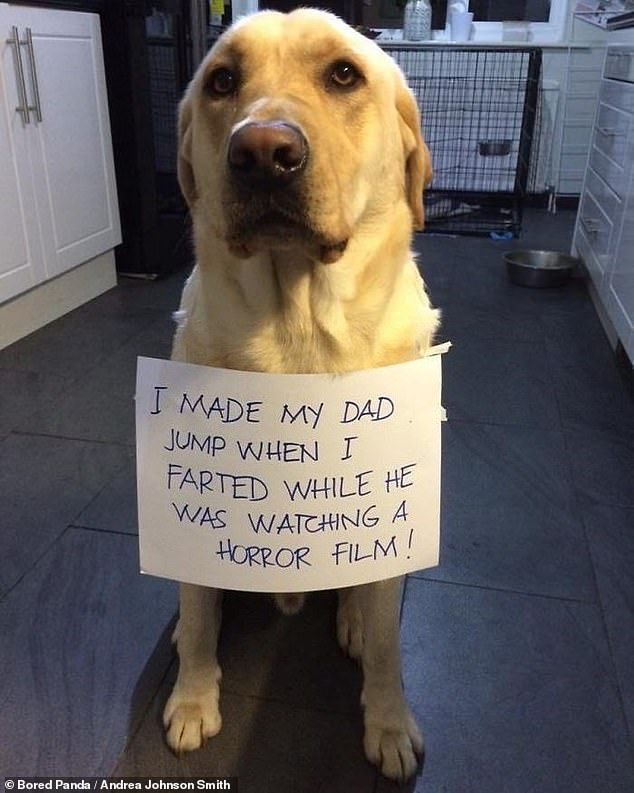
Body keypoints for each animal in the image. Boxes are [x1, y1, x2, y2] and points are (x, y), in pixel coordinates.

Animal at [163, 9, 440, 784]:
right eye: (222, 81)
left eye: (344, 74)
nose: (262, 151)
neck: (296, 338)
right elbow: (202, 617)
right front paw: (193, 698)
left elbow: (389, 646)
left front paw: (389, 721)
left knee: (369, 601)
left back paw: (353, 619)